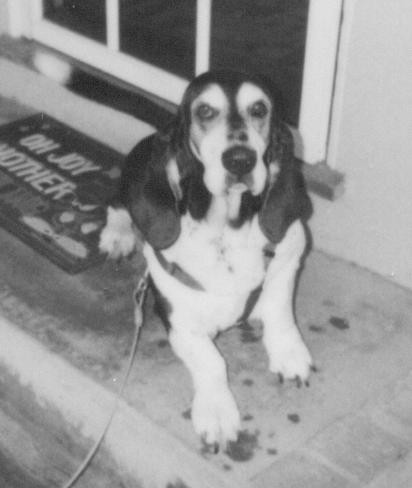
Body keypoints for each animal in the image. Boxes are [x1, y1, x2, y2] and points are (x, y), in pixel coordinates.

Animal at [99, 70, 313, 451]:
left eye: (259, 109)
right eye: (205, 111)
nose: (240, 159)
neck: (226, 231)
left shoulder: (288, 258)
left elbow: (280, 313)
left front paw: (289, 354)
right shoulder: (181, 321)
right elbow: (213, 363)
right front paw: (217, 412)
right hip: (132, 185)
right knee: (117, 201)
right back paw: (118, 235)